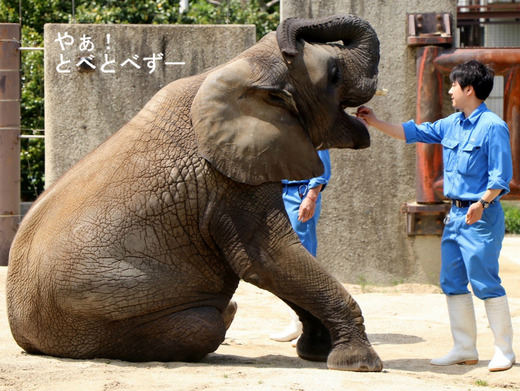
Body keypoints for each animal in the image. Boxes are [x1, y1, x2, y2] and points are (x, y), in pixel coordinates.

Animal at [7, 13, 382, 372]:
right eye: (333, 75)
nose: (290, 44)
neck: (241, 66)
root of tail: (25, 337)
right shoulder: (228, 181)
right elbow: (269, 259)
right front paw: (359, 364)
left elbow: (280, 265)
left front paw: (317, 353)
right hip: (105, 313)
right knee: (205, 326)